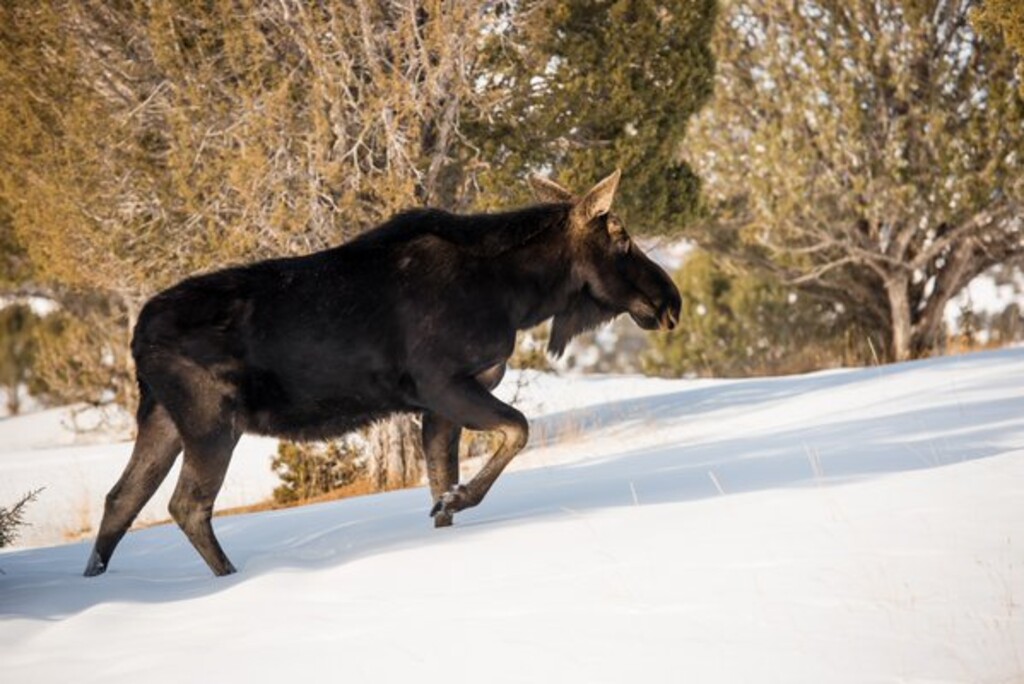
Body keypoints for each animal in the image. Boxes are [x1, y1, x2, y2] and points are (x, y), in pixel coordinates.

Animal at [83, 169, 681, 577]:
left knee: (120, 501)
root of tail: (135, 336)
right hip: (211, 421)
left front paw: (447, 508)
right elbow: (517, 431)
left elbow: (442, 483)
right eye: (622, 238)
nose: (670, 300)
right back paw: (228, 578)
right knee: (186, 505)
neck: (518, 295)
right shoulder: (443, 383)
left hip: (162, 418)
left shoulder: (439, 405)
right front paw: (459, 499)